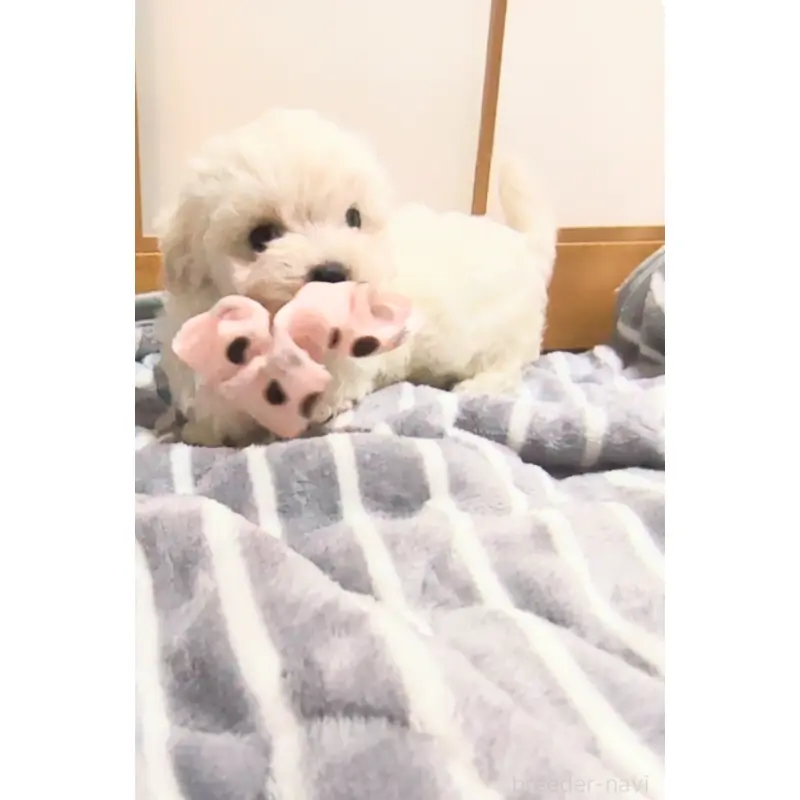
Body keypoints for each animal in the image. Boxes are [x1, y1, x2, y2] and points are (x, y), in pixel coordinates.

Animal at [155, 108, 557, 446]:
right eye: (261, 235)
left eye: (353, 217)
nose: (333, 272)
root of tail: (524, 242)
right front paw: (197, 431)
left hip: (505, 332)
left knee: (511, 363)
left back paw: (477, 385)